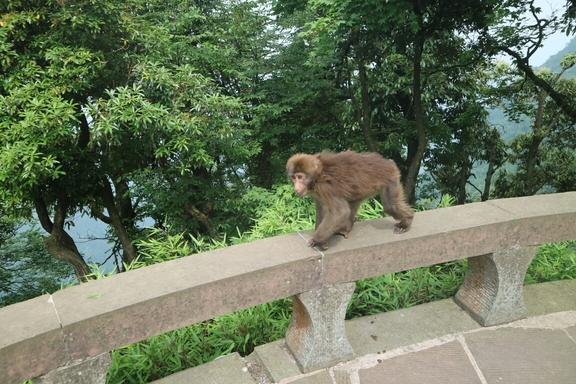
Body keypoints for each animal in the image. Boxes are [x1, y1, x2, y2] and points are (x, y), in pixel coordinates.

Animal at [286, 150, 414, 249]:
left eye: (300, 177)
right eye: (294, 178)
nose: (296, 186)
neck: (317, 177)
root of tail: (387, 162)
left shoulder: (325, 187)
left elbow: (340, 212)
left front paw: (317, 240)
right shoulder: (318, 192)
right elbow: (322, 208)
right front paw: (321, 238)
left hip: (390, 177)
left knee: (390, 206)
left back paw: (407, 221)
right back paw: (346, 229)